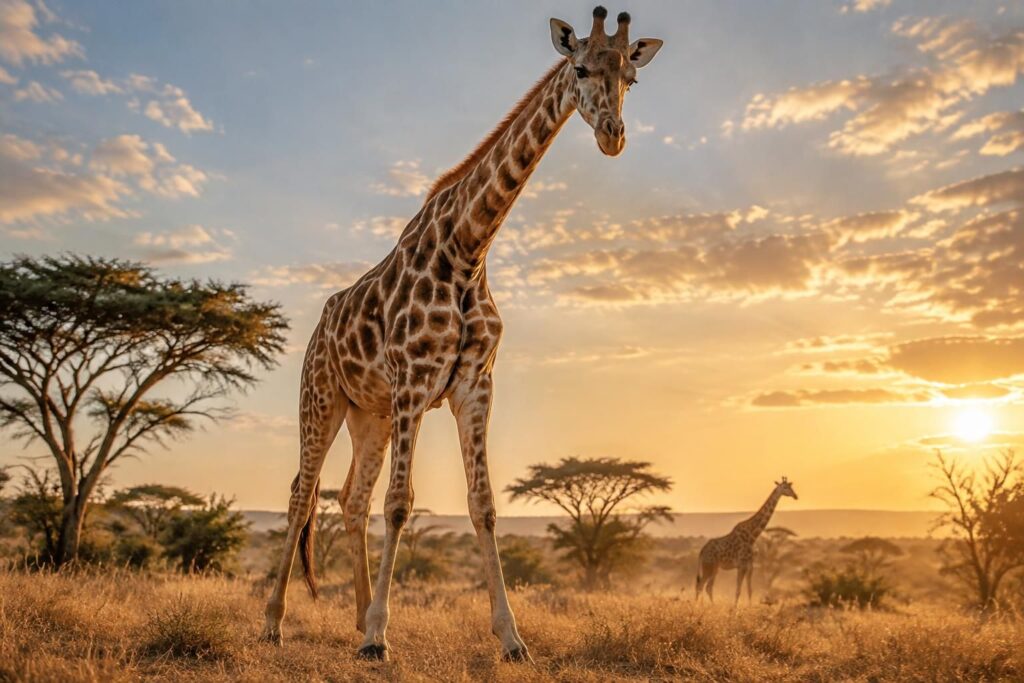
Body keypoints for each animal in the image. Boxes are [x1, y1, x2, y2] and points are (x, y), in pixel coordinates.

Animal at [260, 7, 663, 662]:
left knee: (349, 498)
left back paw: (354, 617)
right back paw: (274, 622)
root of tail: (320, 328)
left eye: (632, 76)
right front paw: (379, 639)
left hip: (369, 413)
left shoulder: (473, 385)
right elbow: (401, 504)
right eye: (579, 67)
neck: (469, 248)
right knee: (302, 493)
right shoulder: (414, 382)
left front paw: (512, 639)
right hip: (321, 397)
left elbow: (484, 506)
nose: (612, 135)